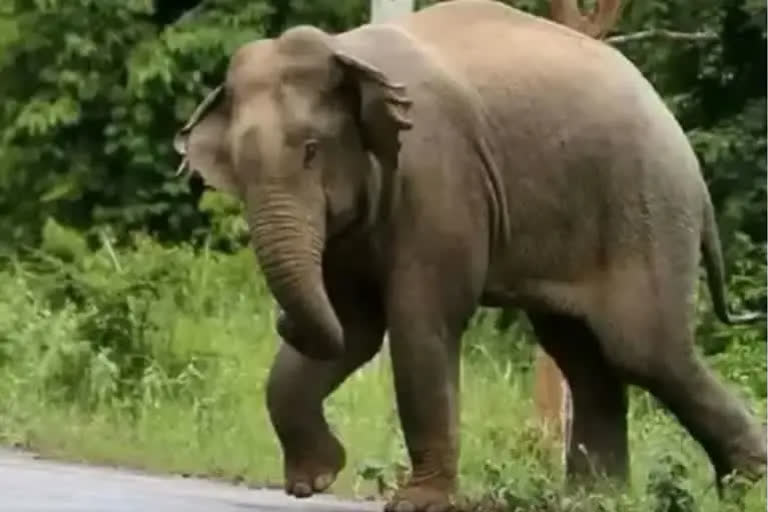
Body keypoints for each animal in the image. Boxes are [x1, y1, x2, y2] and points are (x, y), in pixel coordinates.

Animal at [174, 0, 768, 510]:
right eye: (235, 167)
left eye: (311, 151)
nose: (281, 322)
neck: (348, 53)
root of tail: (691, 161)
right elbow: (354, 328)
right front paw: (313, 480)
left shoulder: (439, 177)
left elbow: (420, 322)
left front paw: (417, 503)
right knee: (583, 354)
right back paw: (593, 501)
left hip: (645, 211)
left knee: (643, 350)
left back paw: (746, 490)